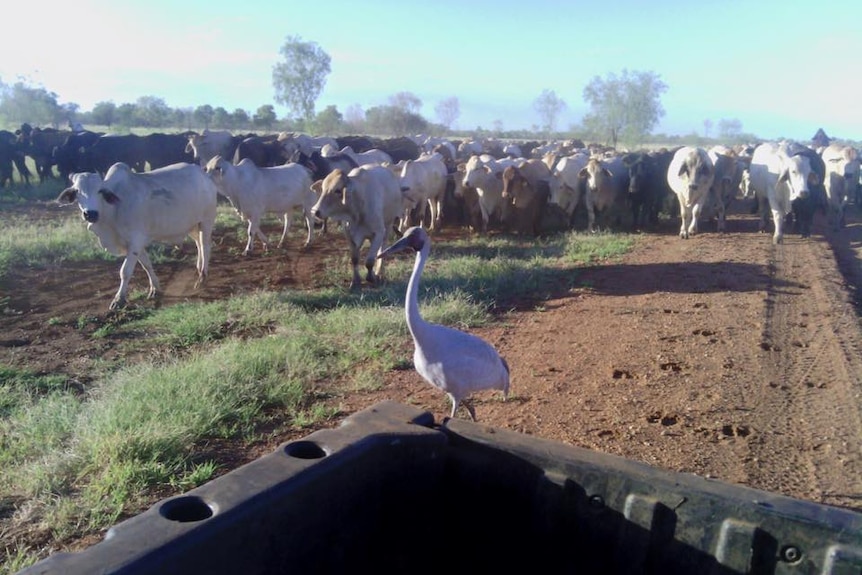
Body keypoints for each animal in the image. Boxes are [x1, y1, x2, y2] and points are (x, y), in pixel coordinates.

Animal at [57, 162, 218, 310]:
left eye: (100, 191)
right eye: (77, 191)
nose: (90, 214)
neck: (112, 210)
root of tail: (204, 174)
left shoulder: (135, 241)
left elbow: (125, 271)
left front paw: (119, 300)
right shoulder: (135, 244)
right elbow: (146, 265)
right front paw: (155, 289)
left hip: (206, 221)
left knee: (205, 246)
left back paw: (202, 277)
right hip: (193, 226)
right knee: (199, 245)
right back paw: (199, 269)